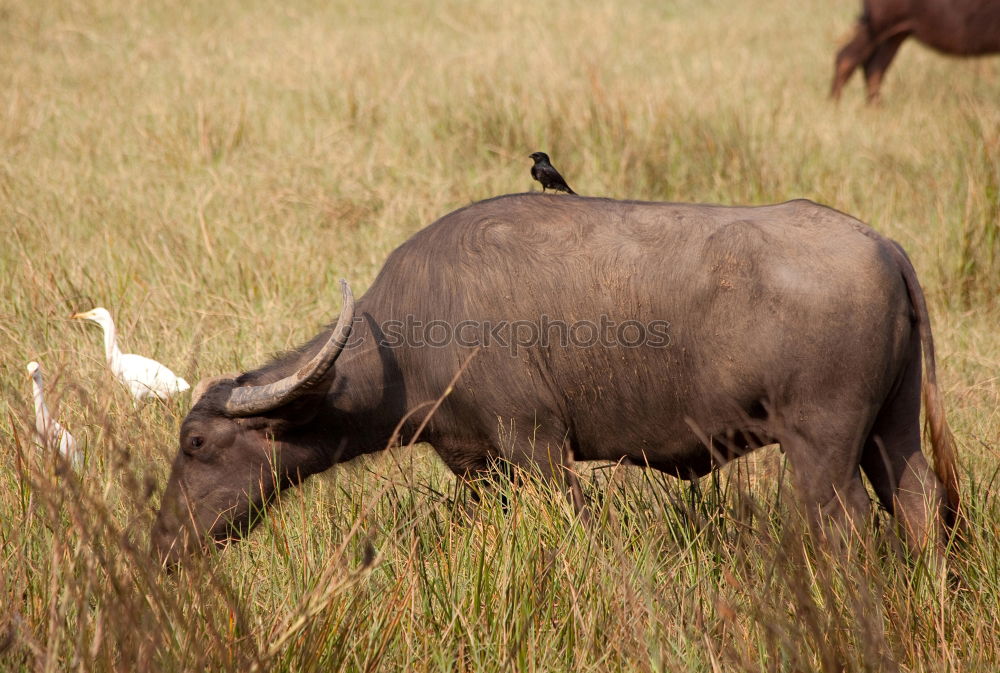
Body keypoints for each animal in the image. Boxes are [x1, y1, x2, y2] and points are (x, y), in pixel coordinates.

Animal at [150, 193, 960, 568]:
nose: (162, 543)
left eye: (196, 444)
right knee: (919, 505)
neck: (408, 337)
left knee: (846, 527)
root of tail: (881, 245)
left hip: (822, 446)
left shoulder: (538, 447)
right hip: (890, 433)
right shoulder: (479, 464)